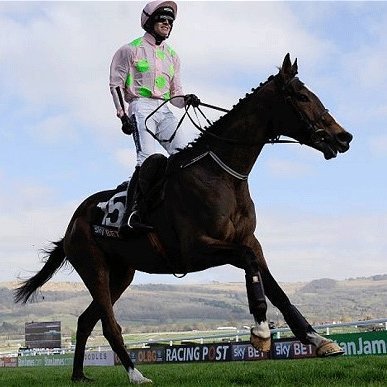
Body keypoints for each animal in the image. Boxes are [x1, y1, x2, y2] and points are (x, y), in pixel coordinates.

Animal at [14, 54, 354, 384]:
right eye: (302, 96)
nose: (343, 136)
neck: (221, 175)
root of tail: (73, 222)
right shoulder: (196, 249)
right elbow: (248, 263)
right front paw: (260, 330)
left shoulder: (249, 241)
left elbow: (276, 288)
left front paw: (317, 339)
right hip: (93, 267)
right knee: (109, 325)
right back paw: (135, 374)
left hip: (121, 274)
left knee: (86, 320)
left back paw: (78, 374)